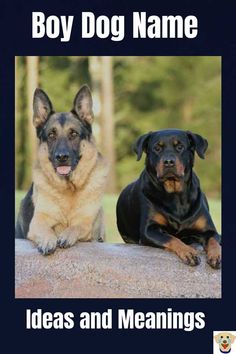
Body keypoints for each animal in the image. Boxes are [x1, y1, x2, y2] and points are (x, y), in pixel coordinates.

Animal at [15, 84, 109, 254]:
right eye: (51, 135)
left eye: (74, 134)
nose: (62, 157)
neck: (69, 189)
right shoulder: (38, 221)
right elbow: (46, 229)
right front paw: (48, 239)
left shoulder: (86, 223)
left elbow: (77, 226)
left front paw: (66, 234)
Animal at [116, 130, 221, 268]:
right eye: (157, 148)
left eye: (180, 147)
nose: (169, 162)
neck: (175, 196)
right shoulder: (149, 230)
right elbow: (171, 238)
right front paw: (188, 252)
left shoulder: (209, 230)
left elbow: (214, 240)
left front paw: (216, 255)